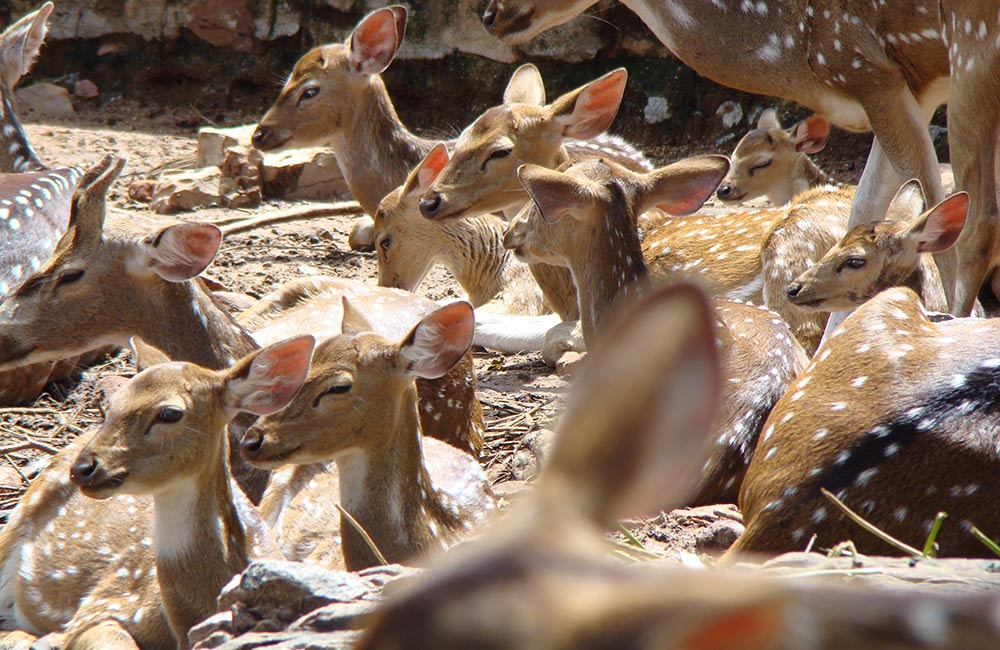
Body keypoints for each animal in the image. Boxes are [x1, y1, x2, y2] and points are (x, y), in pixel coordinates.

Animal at [480, 0, 996, 316]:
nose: (489, 13)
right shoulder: (912, 88)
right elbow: (869, 206)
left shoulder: (868, 73)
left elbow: (935, 221)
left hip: (974, 46)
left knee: (978, 226)